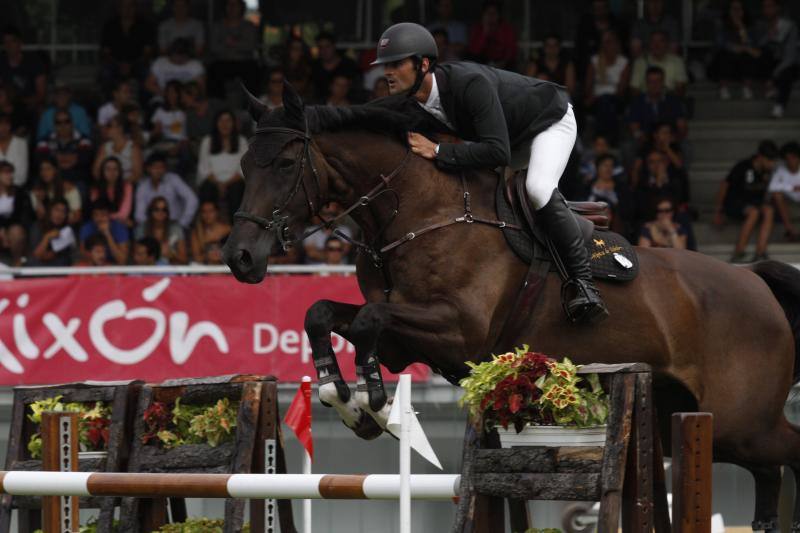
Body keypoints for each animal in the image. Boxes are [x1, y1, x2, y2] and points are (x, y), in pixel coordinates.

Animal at [222, 84, 800, 528]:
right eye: (246, 163)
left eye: (286, 163)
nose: (239, 257)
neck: (416, 212)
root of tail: (753, 277)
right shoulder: (405, 339)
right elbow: (323, 313)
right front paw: (341, 396)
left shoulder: (457, 331)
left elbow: (367, 321)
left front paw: (374, 404)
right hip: (684, 416)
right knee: (768, 472)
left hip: (737, 423)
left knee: (784, 454)